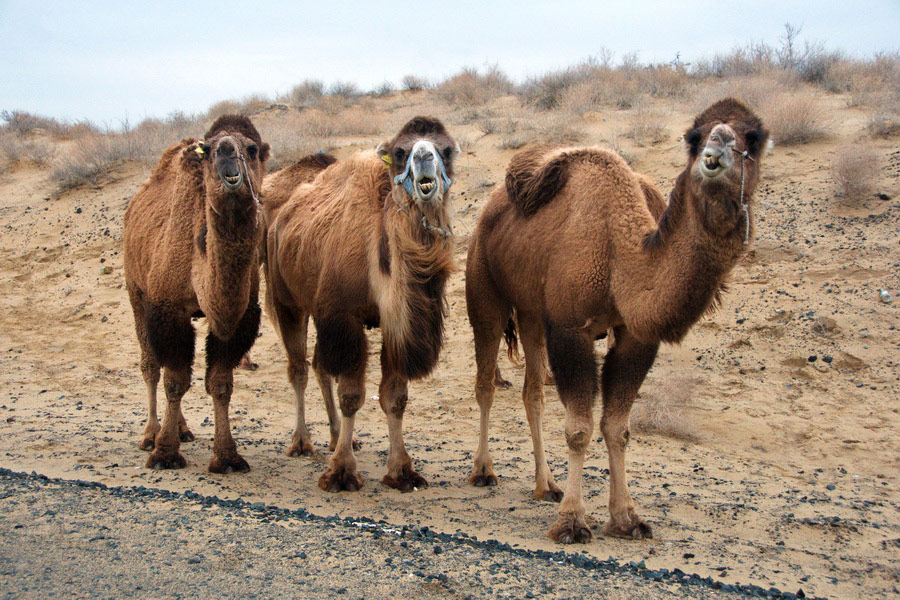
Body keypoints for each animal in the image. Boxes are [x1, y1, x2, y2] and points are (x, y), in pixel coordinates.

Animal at [125, 115, 268, 474]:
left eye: (251, 148)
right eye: (210, 149)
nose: (227, 153)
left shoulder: (238, 318)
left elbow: (220, 383)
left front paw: (228, 457)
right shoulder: (167, 309)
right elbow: (175, 380)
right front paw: (164, 453)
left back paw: (181, 428)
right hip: (135, 290)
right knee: (150, 365)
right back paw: (151, 433)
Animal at [260, 115, 458, 490]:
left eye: (447, 149)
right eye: (401, 151)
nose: (424, 158)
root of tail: (279, 217)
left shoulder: (397, 323)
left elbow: (395, 398)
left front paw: (401, 471)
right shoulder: (343, 316)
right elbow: (351, 395)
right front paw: (341, 472)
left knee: (320, 366)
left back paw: (339, 436)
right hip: (287, 299)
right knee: (299, 368)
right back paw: (302, 442)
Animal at [468, 99, 768, 544]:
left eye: (755, 137)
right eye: (694, 137)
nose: (716, 152)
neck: (621, 257)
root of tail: (488, 209)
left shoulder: (635, 337)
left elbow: (617, 427)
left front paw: (626, 517)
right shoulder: (570, 326)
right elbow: (579, 428)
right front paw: (572, 521)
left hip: (532, 312)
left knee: (532, 392)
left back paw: (546, 485)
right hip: (485, 291)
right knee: (486, 381)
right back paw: (483, 471)